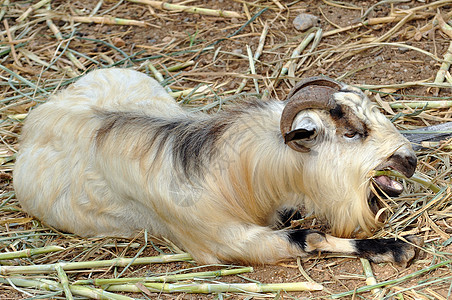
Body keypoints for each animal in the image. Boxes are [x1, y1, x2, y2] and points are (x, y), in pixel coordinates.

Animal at [15, 69, 424, 266]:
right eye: (352, 133)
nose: (409, 161)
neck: (229, 175)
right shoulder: (224, 241)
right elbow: (310, 237)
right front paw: (394, 249)